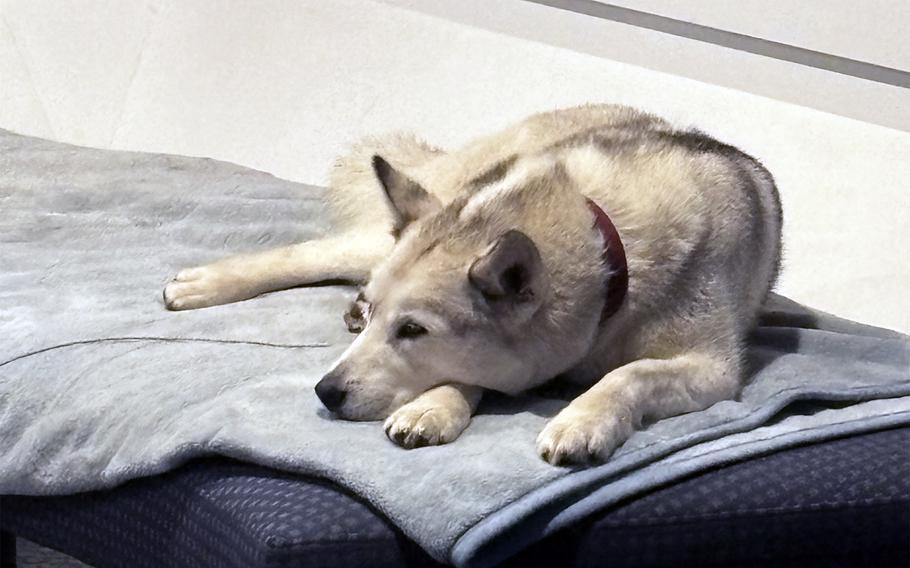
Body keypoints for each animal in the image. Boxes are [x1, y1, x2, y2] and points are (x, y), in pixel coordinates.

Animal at [162, 104, 784, 464]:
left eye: (413, 331)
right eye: (388, 322)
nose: (325, 392)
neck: (610, 251)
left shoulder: (712, 369)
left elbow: (629, 375)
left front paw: (583, 419)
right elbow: (470, 374)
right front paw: (437, 405)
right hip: (400, 222)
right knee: (312, 252)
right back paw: (203, 283)